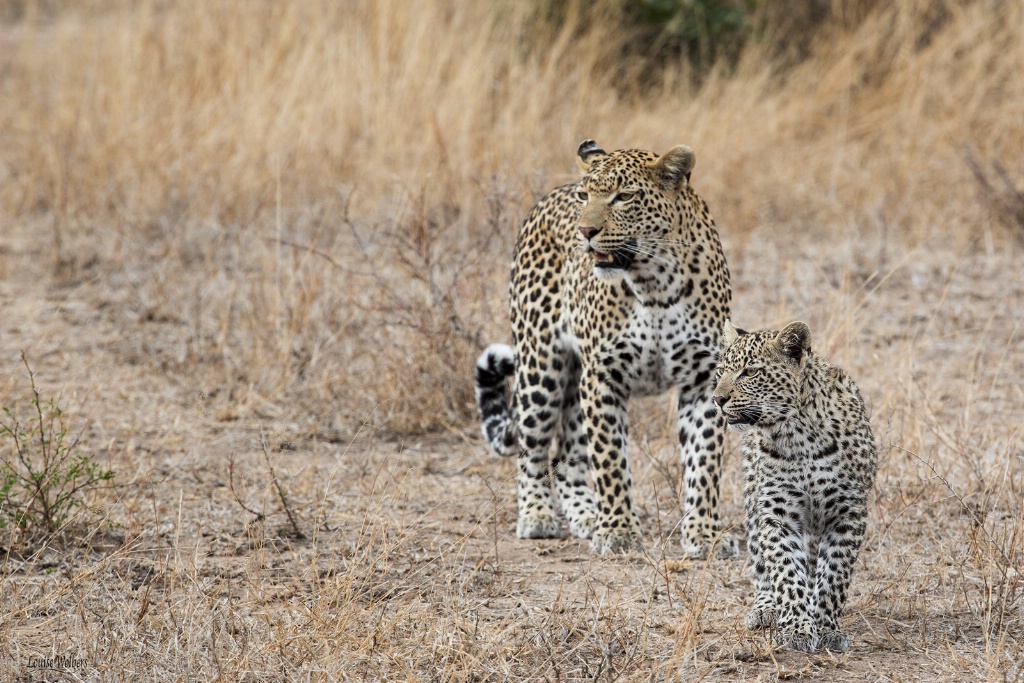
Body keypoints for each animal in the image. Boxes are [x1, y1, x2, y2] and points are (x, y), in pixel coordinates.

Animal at [475, 139, 733, 557]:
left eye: (624, 197)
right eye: (586, 196)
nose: (585, 231)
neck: (655, 283)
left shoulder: (703, 379)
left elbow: (704, 463)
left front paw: (704, 533)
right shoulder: (603, 378)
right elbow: (610, 459)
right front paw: (619, 531)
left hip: (573, 383)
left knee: (567, 456)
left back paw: (585, 514)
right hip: (540, 368)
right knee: (533, 449)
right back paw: (538, 516)